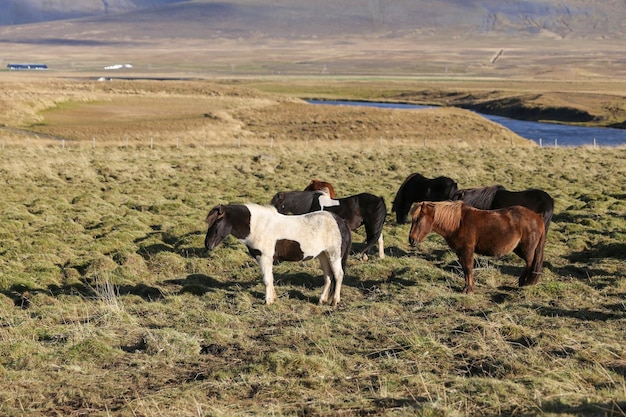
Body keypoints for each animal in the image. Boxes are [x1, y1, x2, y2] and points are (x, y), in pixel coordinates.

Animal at [205, 202, 352, 306]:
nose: (207, 244)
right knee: (328, 277)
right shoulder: (266, 259)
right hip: (323, 255)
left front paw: (267, 301)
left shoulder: (264, 257)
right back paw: (322, 300)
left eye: (217, 221)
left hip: (334, 256)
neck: (258, 226)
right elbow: (270, 278)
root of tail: (341, 221)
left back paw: (334, 301)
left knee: (338, 275)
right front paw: (273, 298)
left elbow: (266, 279)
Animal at [408, 201, 544, 292]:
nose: (411, 240)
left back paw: (525, 283)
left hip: (526, 250)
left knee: (530, 263)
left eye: (418, 218)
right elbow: (464, 269)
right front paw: (466, 287)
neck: (458, 224)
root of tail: (538, 217)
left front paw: (469, 289)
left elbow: (468, 268)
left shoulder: (467, 250)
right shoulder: (460, 252)